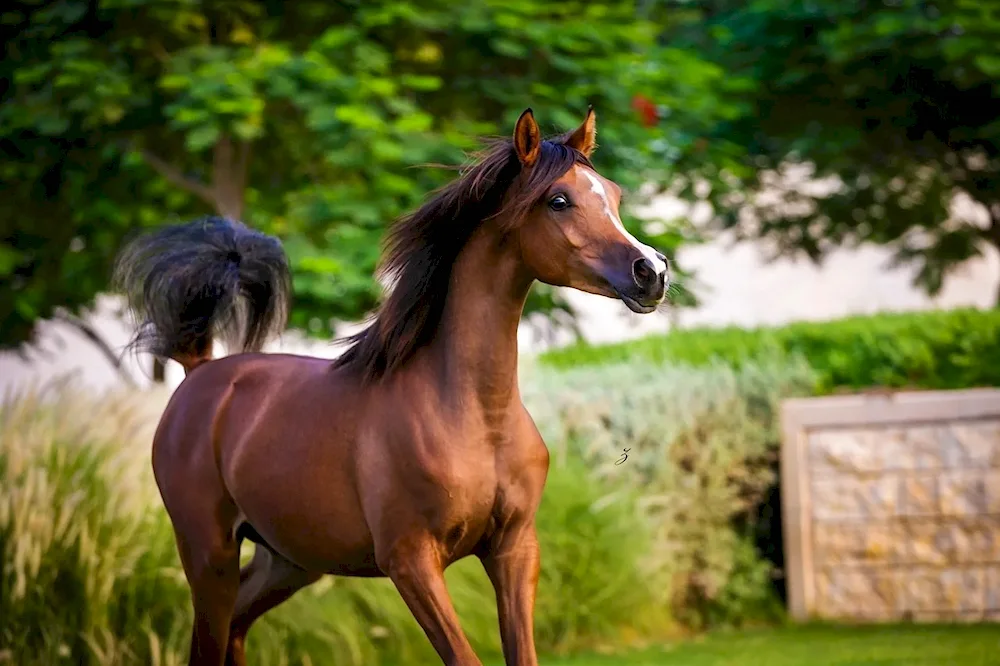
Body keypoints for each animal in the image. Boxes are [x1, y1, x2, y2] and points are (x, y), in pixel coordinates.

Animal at [115, 109, 664, 664]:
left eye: (614, 195)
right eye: (558, 200)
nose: (652, 271)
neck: (472, 415)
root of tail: (199, 372)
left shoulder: (515, 549)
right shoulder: (410, 561)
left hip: (288, 560)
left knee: (235, 629)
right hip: (210, 555)